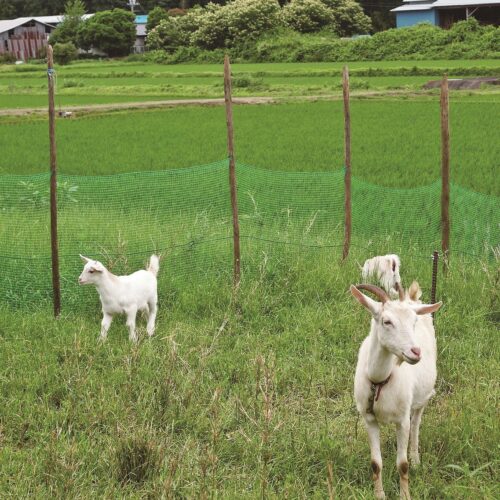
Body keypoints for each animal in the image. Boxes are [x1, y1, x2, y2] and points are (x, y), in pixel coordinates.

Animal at [352, 284, 442, 498]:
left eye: (414, 321)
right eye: (387, 321)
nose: (415, 352)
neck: (379, 381)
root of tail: (412, 299)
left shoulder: (402, 420)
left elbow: (402, 465)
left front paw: (405, 495)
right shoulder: (369, 419)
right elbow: (375, 463)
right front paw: (379, 495)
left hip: (421, 399)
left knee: (416, 423)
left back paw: (415, 458)